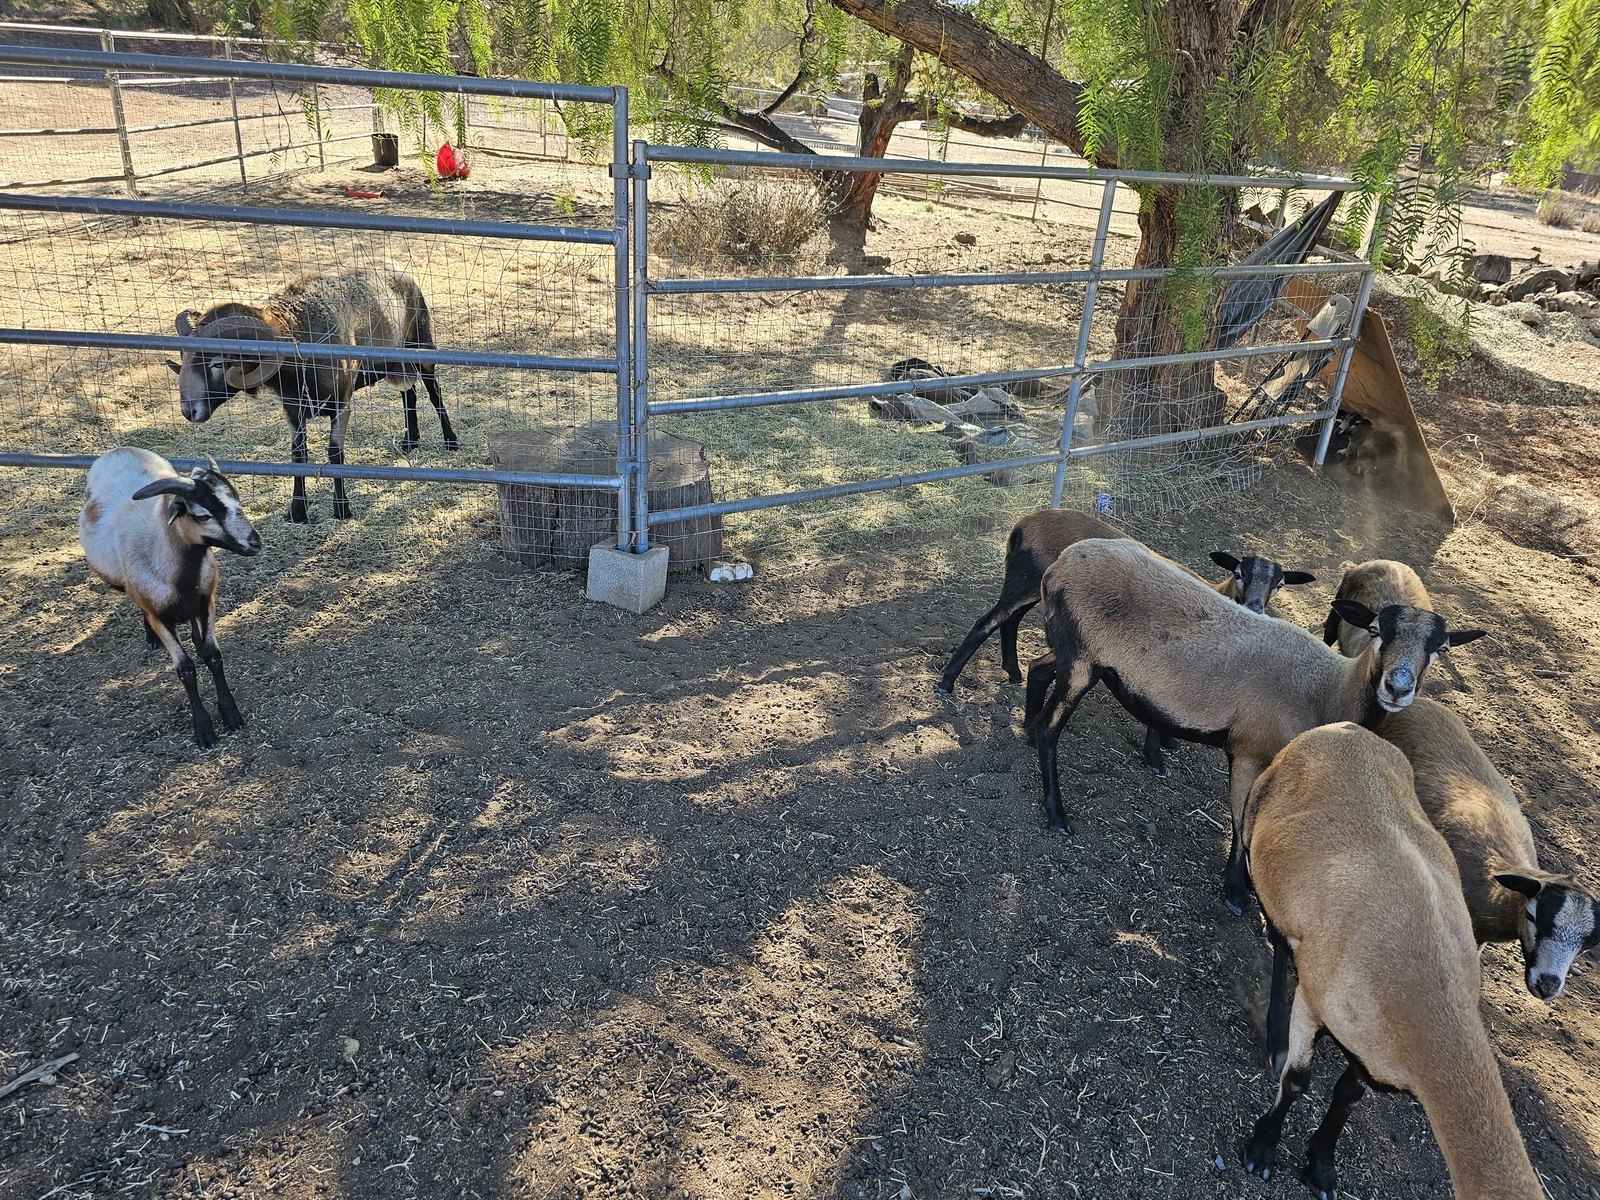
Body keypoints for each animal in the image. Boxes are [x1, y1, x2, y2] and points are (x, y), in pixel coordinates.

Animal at [78, 447, 261, 749]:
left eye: (237, 501)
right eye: (202, 515)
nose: (255, 542)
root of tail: (119, 450)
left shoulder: (207, 602)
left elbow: (213, 656)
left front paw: (230, 713)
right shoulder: (160, 616)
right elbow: (185, 669)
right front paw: (204, 730)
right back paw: (151, 638)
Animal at [169, 266, 458, 523]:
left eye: (218, 363)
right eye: (184, 357)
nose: (188, 410)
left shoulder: (342, 404)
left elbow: (335, 453)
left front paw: (341, 509)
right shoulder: (293, 409)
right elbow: (299, 455)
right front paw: (297, 512)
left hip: (421, 345)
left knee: (434, 392)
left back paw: (450, 441)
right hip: (397, 364)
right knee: (409, 394)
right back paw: (410, 441)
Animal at [1025, 537, 1485, 912]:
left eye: (1440, 647)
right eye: (1375, 630)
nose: (1398, 687)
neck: (1327, 689)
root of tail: (1061, 564)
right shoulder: (1249, 750)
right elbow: (1241, 822)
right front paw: (1235, 890)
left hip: (1071, 650)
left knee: (1037, 669)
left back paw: (1027, 730)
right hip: (1083, 655)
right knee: (1052, 729)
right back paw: (1056, 812)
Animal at [1240, 722, 1541, 1200]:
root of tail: (1343, 729)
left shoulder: (1371, 1054)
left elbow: (1348, 1096)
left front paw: (1321, 1167)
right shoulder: (1315, 1000)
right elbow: (1297, 1081)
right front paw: (1261, 1150)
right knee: (1279, 938)